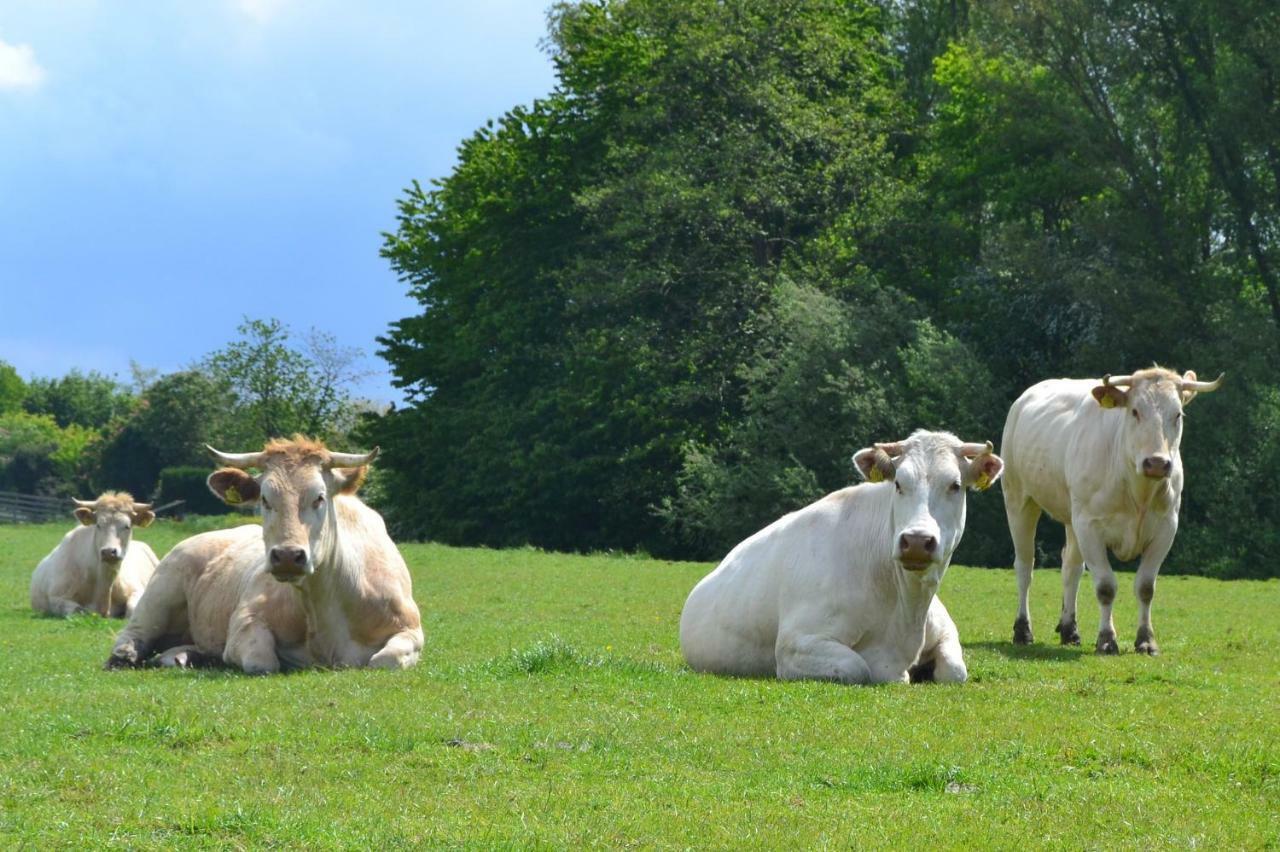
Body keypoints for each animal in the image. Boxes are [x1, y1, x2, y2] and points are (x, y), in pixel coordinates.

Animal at [30, 491, 158, 616]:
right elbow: (78, 611)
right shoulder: (56, 597)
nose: (108, 552)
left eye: (127, 526)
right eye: (98, 525)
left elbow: (133, 610)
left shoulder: (137, 590)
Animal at [675, 427, 1003, 680]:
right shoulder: (796, 644)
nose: (917, 540)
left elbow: (956, 671)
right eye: (898, 483)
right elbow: (857, 667)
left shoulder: (946, 631)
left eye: (955, 485)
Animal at [1003, 363, 1223, 649]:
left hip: (1072, 517)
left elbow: (1146, 587)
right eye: (1135, 411)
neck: (1138, 491)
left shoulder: (1166, 528)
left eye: (1178, 414)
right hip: (1019, 498)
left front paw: (1146, 640)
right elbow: (1106, 587)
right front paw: (1107, 640)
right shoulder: (1090, 526)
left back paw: (1069, 630)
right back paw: (1022, 630)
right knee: (1025, 565)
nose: (1156, 463)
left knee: (1070, 568)